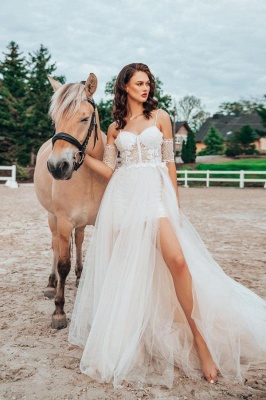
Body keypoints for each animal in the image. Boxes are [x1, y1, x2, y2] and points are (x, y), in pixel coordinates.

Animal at [34, 73, 107, 330]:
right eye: (55, 120)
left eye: (85, 118)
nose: (57, 167)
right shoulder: (64, 221)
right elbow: (63, 263)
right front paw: (59, 312)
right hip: (52, 217)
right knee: (56, 246)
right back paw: (50, 283)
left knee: (80, 240)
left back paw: (80, 276)